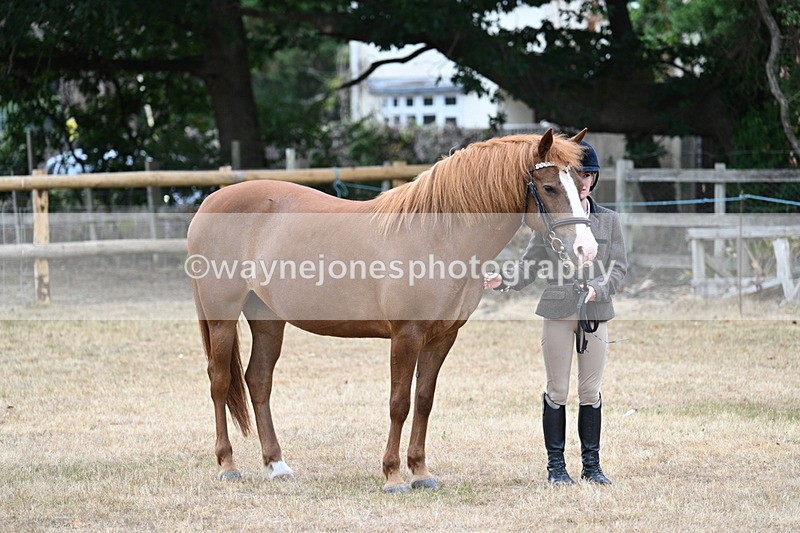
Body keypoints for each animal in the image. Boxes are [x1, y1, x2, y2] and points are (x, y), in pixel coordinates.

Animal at [187, 128, 598, 493]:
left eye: (582, 186)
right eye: (549, 188)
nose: (586, 250)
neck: (438, 237)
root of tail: (210, 202)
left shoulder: (442, 337)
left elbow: (424, 401)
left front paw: (421, 472)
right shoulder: (406, 335)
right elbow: (399, 403)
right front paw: (393, 476)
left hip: (267, 318)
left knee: (258, 381)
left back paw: (277, 465)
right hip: (222, 316)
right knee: (219, 380)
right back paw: (227, 465)